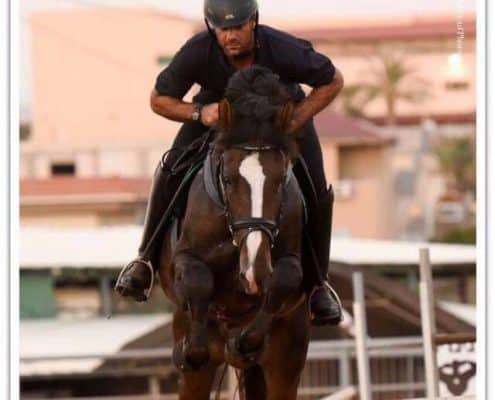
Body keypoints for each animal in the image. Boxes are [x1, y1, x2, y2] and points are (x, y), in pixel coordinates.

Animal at [159, 66, 310, 400]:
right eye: (227, 179)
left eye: (280, 181)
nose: (254, 271)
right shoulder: (185, 259)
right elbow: (198, 281)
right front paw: (190, 348)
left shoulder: (291, 260)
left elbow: (285, 278)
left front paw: (242, 344)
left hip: (288, 355)